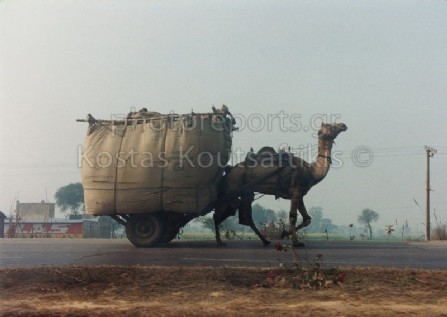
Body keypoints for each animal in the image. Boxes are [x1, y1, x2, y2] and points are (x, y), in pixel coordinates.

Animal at [214, 122, 346, 246]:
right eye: (331, 126)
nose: (343, 125)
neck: (311, 171)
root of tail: (229, 169)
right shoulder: (296, 191)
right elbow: (293, 217)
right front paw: (296, 242)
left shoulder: (299, 194)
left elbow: (307, 219)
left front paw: (284, 233)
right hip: (233, 187)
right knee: (218, 212)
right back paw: (220, 241)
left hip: (246, 193)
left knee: (247, 217)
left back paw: (265, 241)